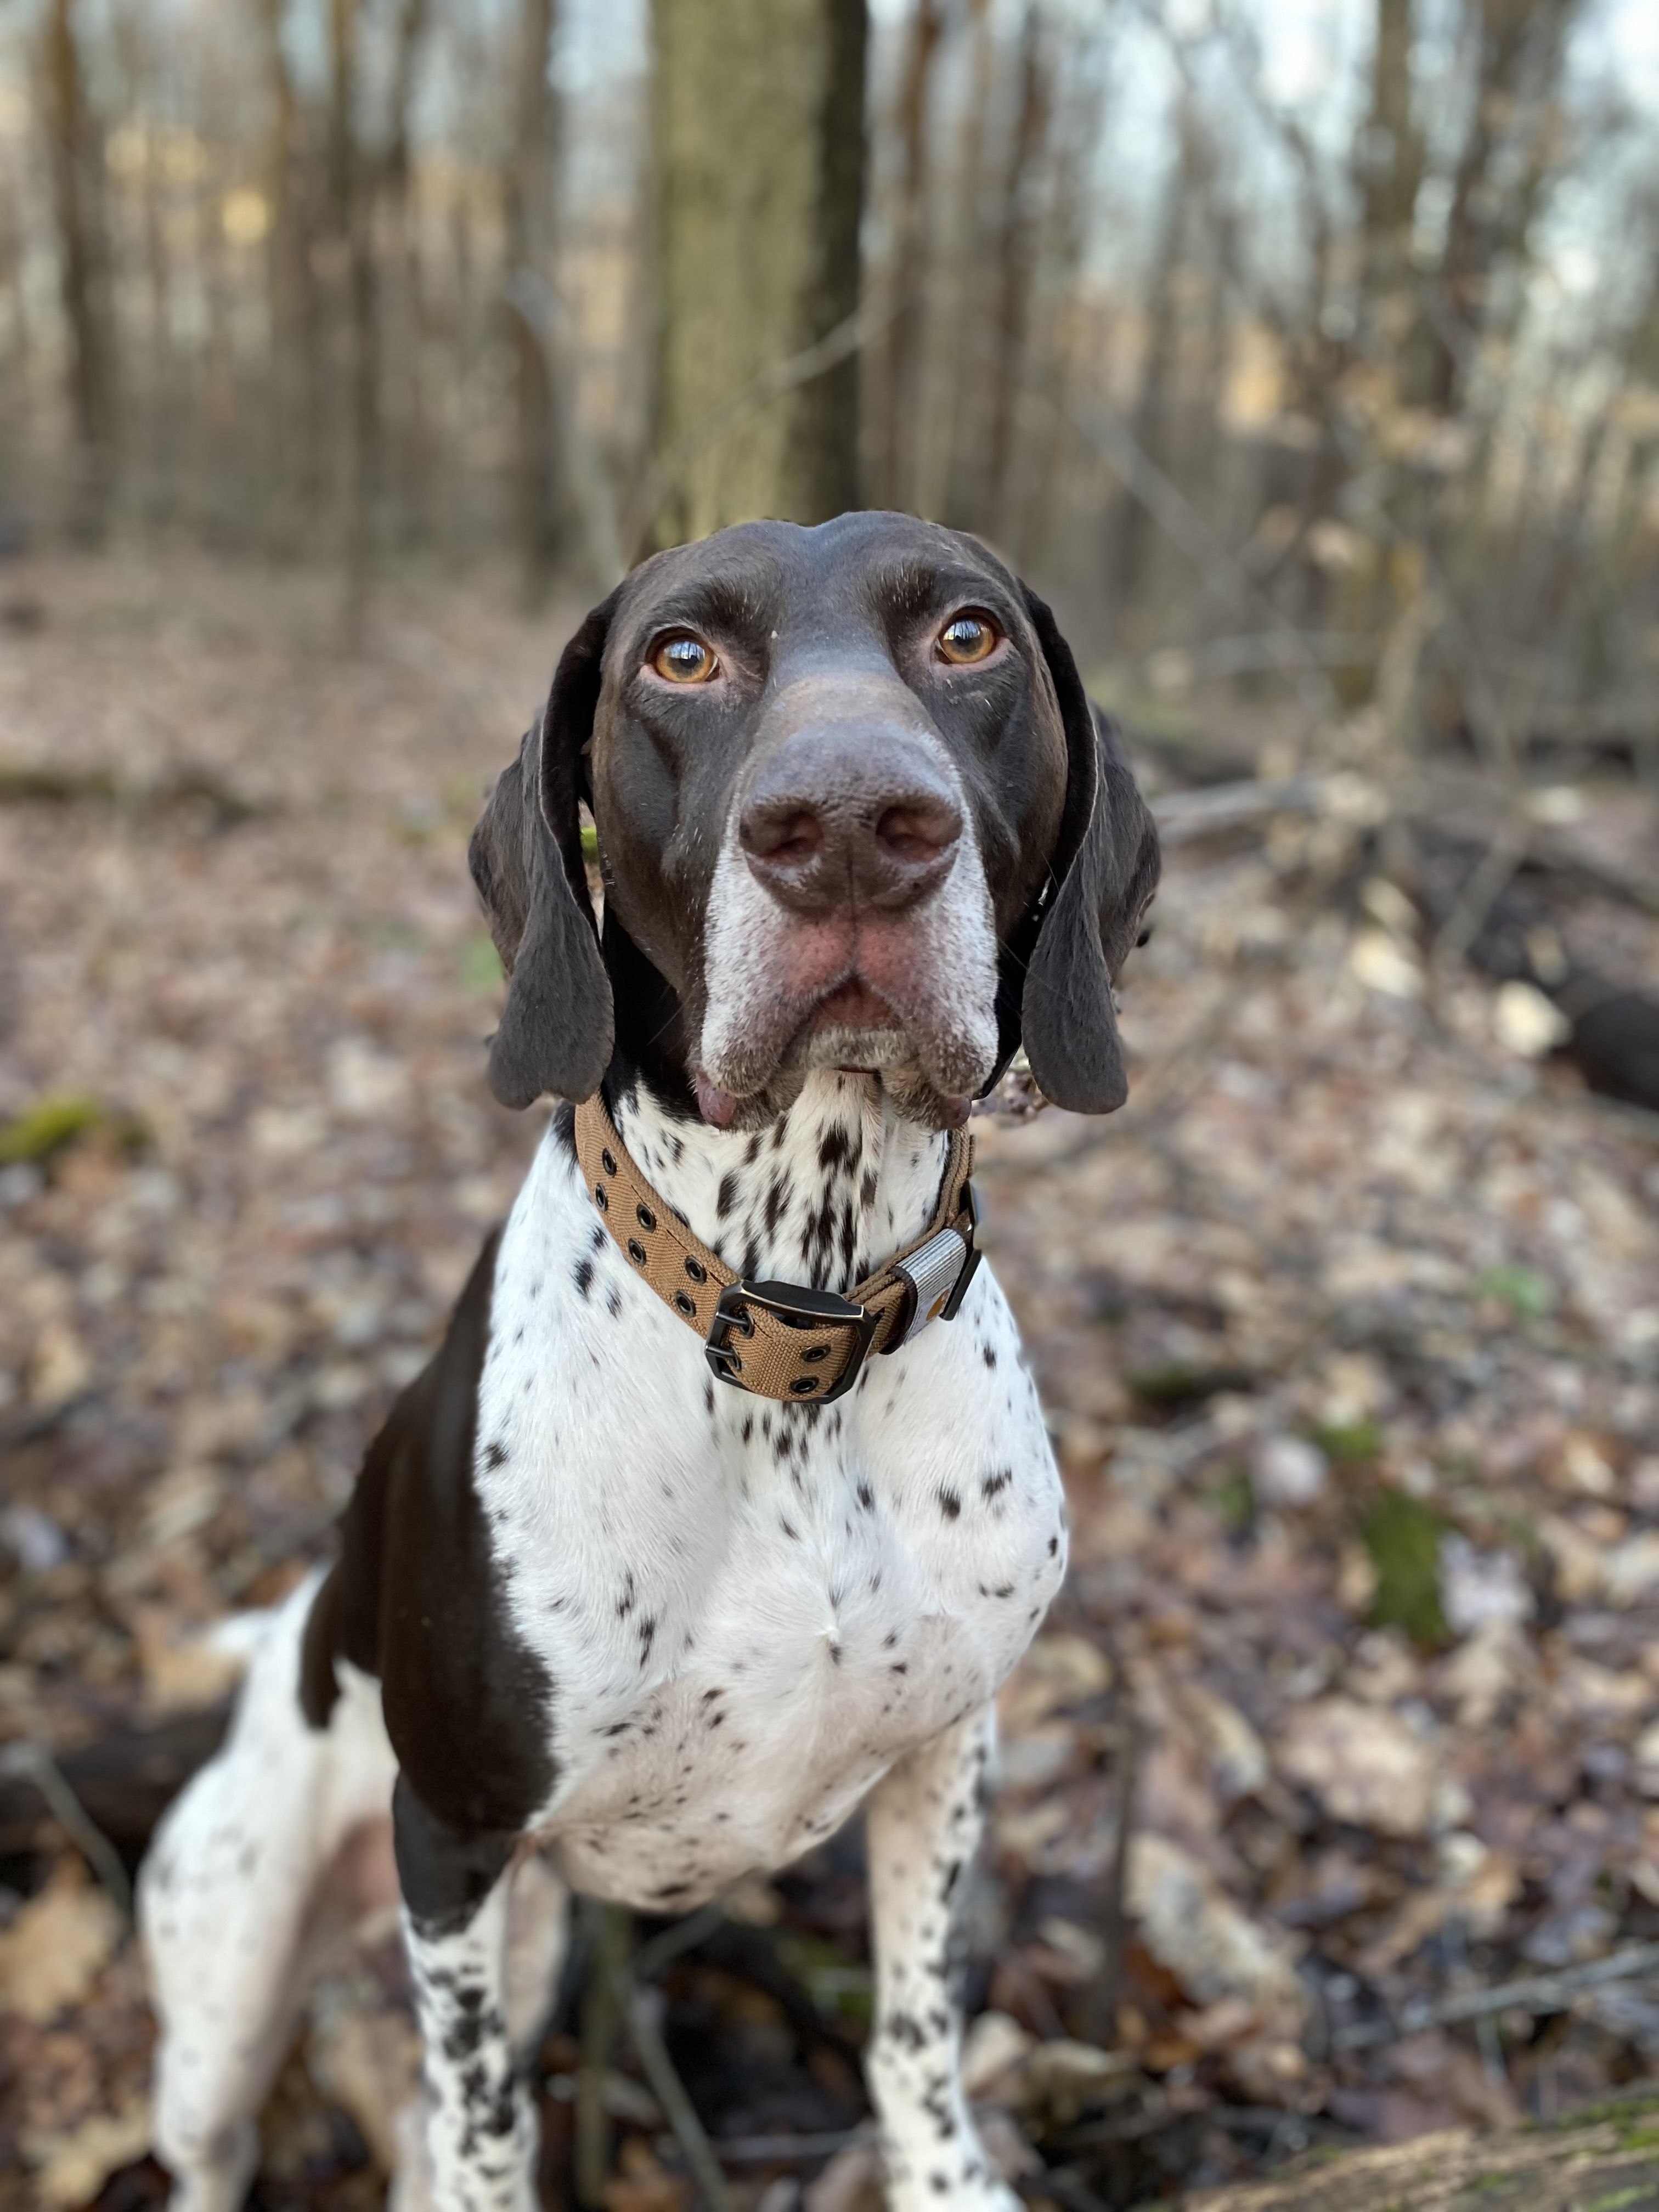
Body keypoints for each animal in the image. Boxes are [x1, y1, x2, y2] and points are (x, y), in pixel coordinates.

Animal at [139, 511, 1160, 2212]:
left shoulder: (947, 1751)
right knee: (233, 2143)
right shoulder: (456, 1837)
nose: (852, 830)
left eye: (969, 637)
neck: (793, 1326)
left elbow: (916, 2036)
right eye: (679, 658)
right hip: (233, 1981)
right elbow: (487, 2129)